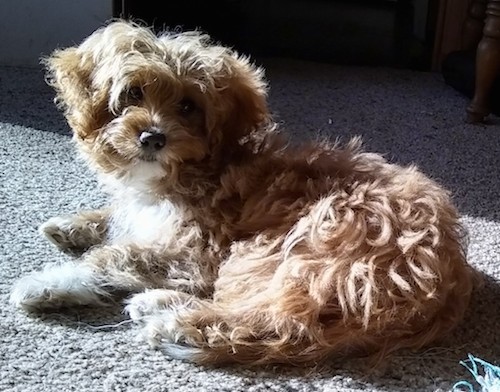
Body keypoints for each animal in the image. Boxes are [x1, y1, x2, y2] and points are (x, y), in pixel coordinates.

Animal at [9, 19, 474, 366]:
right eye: (133, 93)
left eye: (188, 106)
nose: (153, 137)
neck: (193, 170)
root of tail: (443, 285)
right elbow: (116, 220)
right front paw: (71, 225)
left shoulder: (197, 250)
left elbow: (116, 256)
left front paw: (48, 281)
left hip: (294, 247)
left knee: (276, 321)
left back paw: (168, 316)